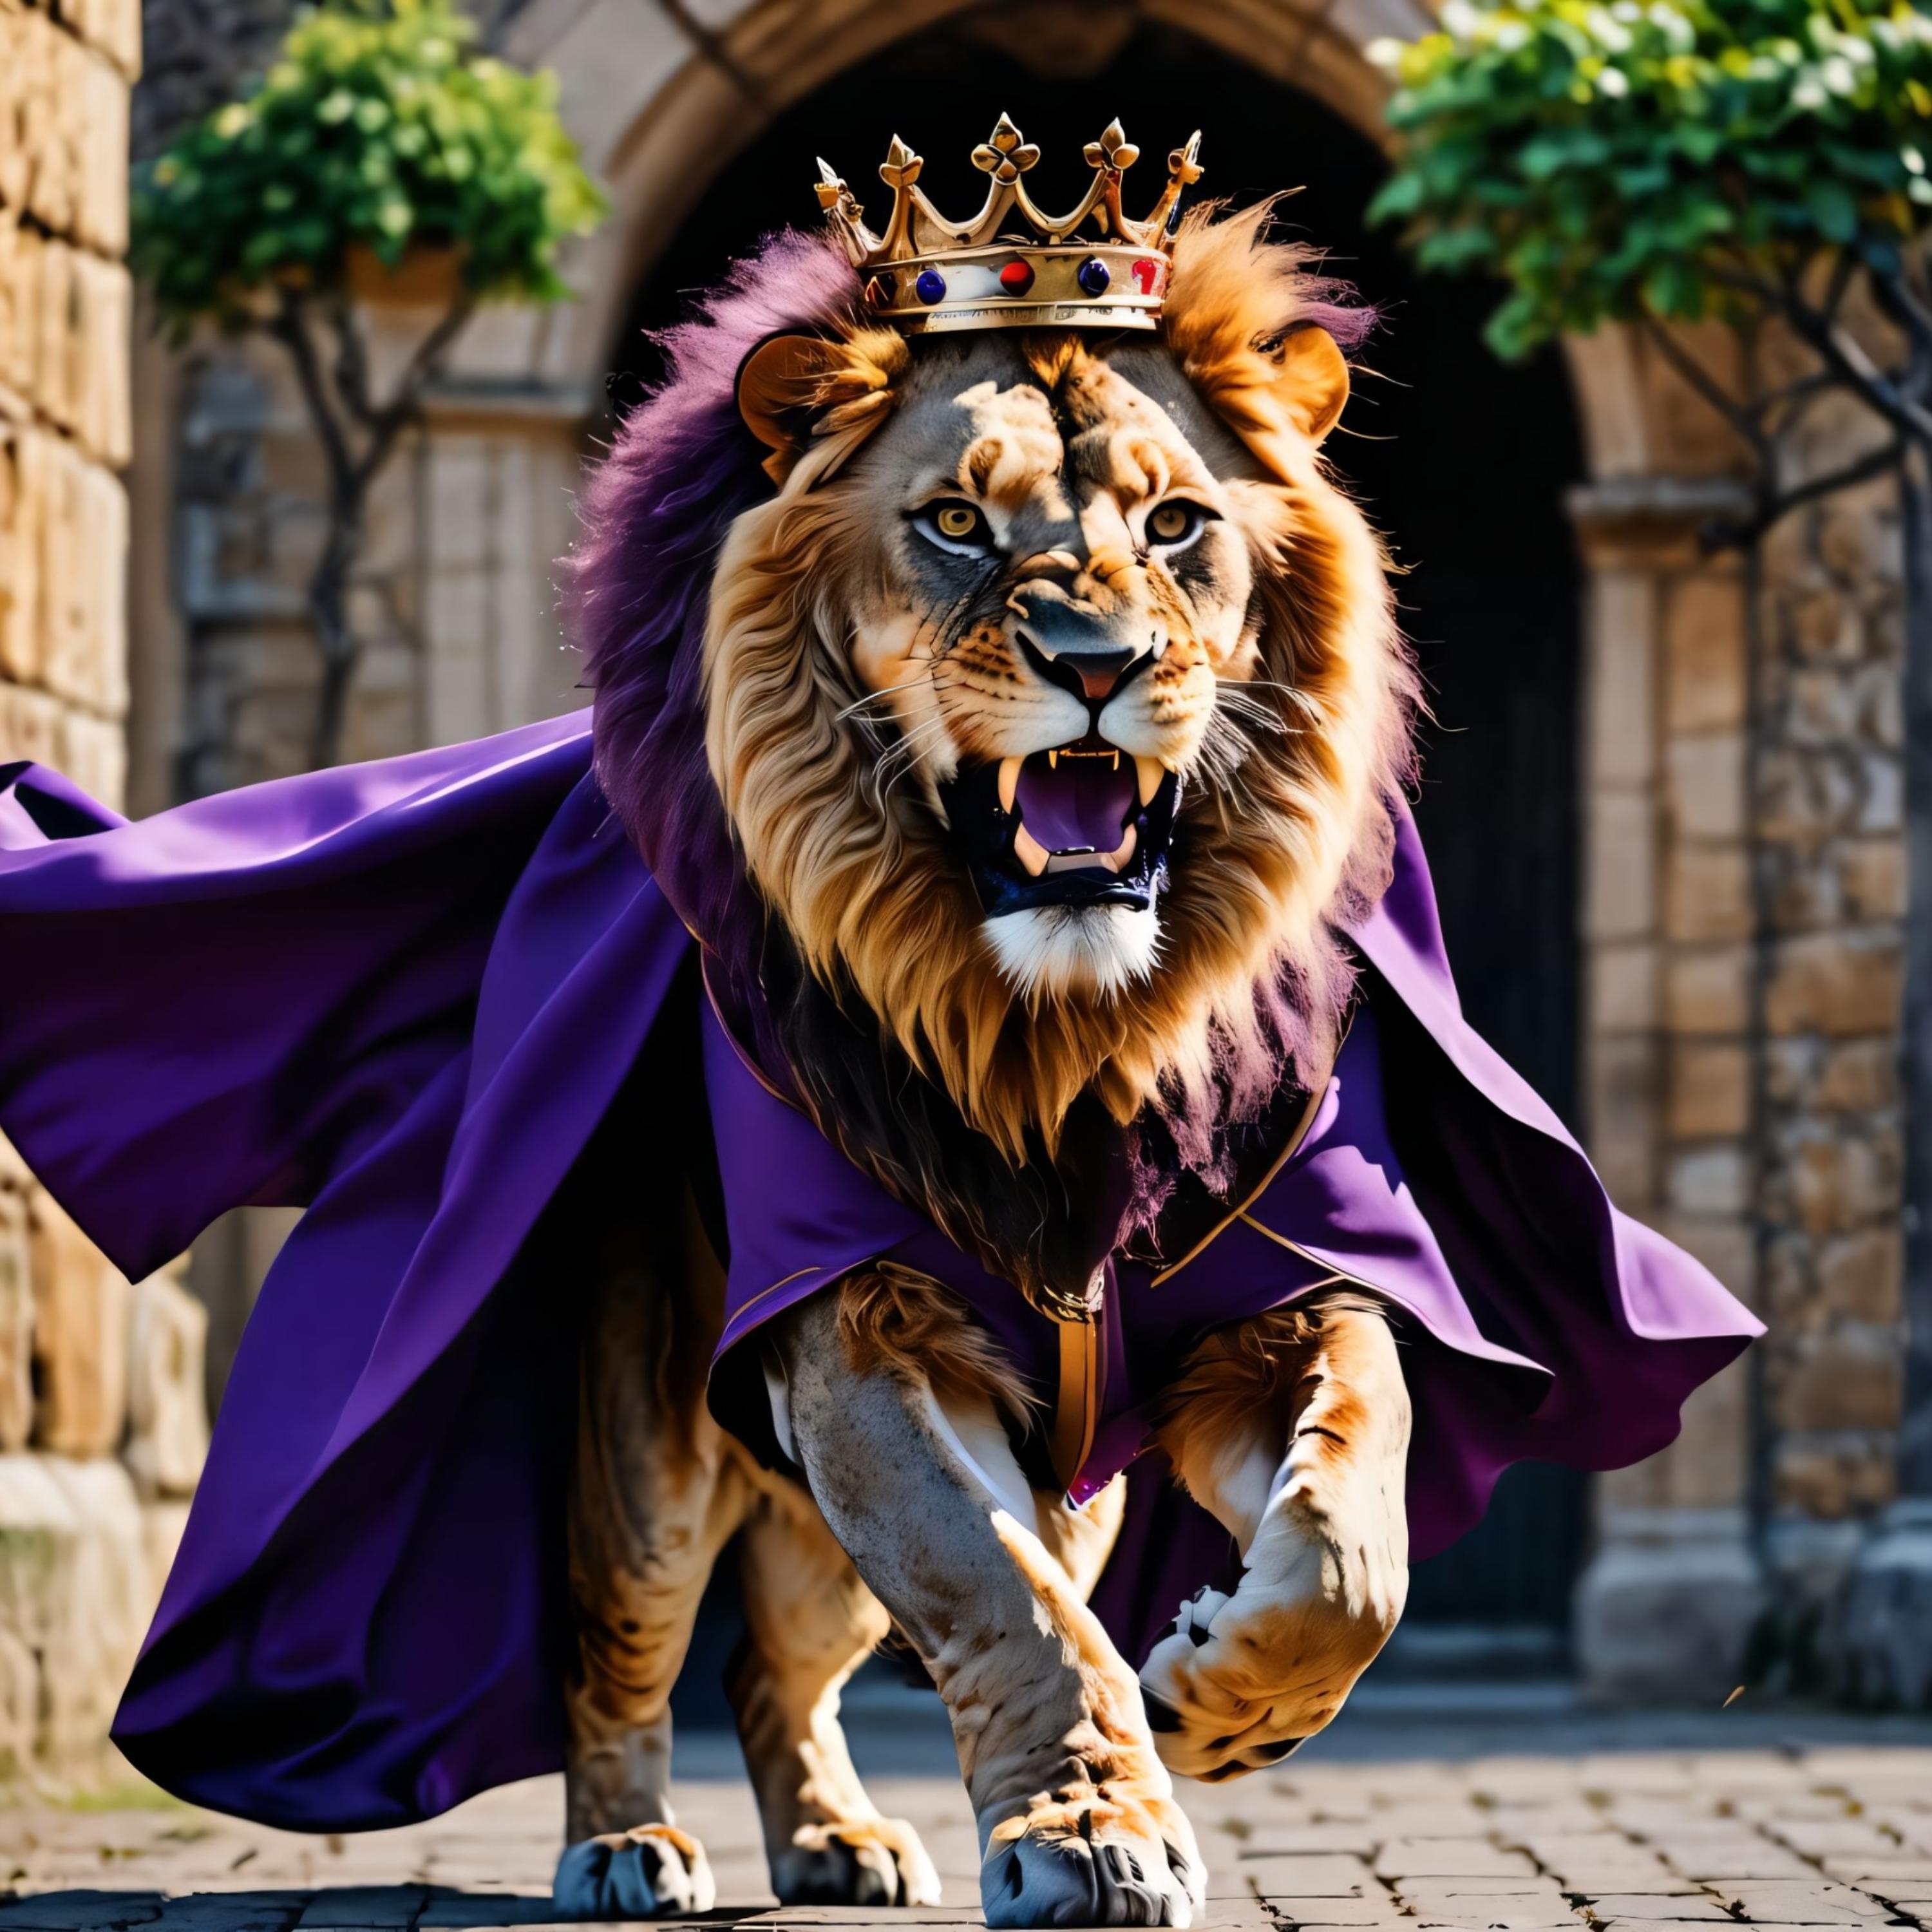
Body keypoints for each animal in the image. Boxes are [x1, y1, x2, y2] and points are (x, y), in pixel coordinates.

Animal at [554, 197, 1418, 1929]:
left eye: (1175, 526)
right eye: (956, 520)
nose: (1093, 657)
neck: (1068, 1036)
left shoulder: (1269, 1306)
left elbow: (1354, 1534)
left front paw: (1219, 1694)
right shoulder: (858, 1333)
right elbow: (1004, 1597)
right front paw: (1090, 1829)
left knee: (773, 1663)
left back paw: (838, 1839)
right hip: (652, 1450)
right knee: (625, 1656)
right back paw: (626, 1845)